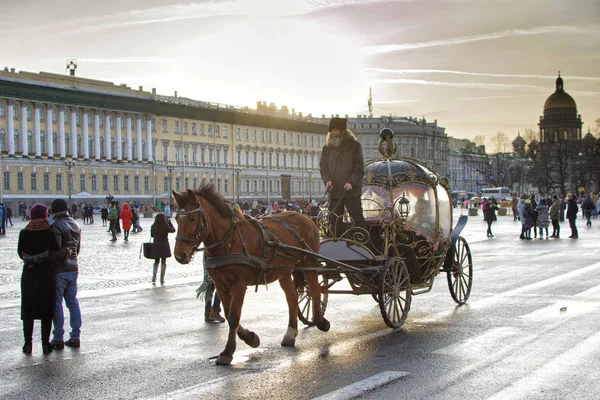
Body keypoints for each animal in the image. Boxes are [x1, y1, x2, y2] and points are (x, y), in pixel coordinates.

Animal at [170, 185, 328, 366]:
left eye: (192, 219)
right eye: (177, 219)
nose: (179, 255)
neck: (229, 240)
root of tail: (306, 216)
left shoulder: (239, 284)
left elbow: (233, 316)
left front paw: (228, 352)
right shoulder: (221, 284)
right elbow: (228, 314)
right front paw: (251, 338)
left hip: (309, 263)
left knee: (315, 291)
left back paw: (321, 322)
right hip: (284, 271)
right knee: (293, 298)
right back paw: (290, 333)